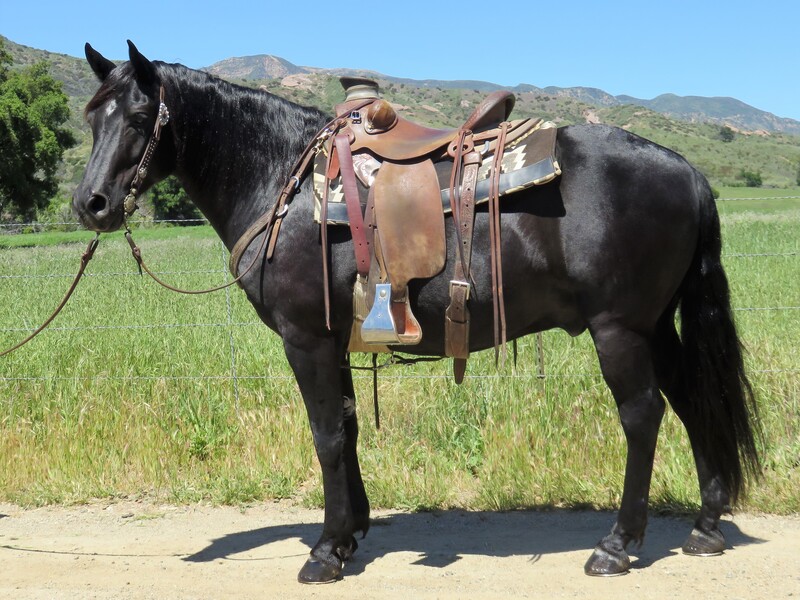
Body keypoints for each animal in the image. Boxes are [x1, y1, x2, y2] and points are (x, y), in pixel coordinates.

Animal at [72, 43, 760, 584]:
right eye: (91, 115)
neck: (282, 184)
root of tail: (687, 170)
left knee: (643, 415)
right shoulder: (334, 341)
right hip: (657, 325)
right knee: (694, 400)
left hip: (619, 329)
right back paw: (705, 526)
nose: (90, 203)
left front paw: (324, 551)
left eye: (140, 116)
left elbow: (325, 434)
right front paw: (352, 533)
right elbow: (347, 428)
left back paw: (617, 545)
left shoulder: (306, 340)